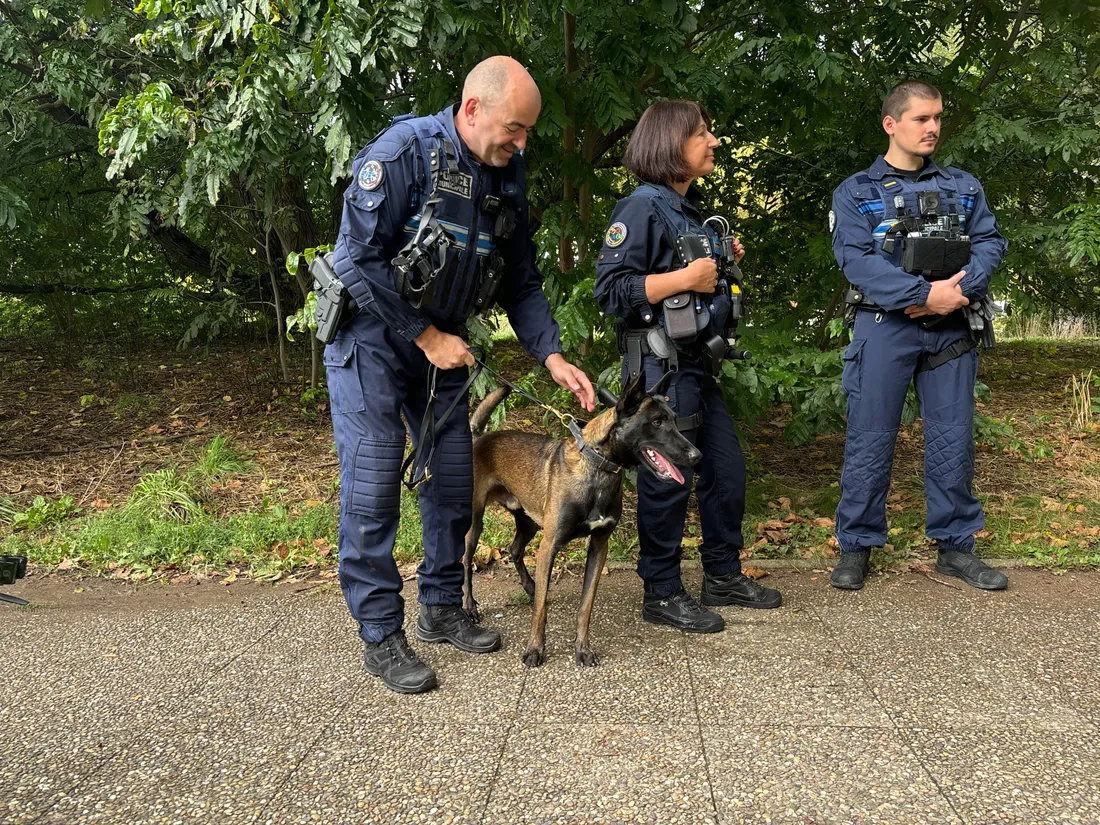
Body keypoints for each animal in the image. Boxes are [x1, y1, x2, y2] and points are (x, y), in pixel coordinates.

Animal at [464, 374, 704, 673]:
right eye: (657, 422)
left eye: (673, 419)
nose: (696, 455)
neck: (598, 469)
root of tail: (479, 437)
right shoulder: (550, 546)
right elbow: (540, 612)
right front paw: (534, 649)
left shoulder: (599, 546)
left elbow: (585, 606)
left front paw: (582, 649)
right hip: (474, 524)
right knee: (466, 562)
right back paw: (470, 606)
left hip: (530, 521)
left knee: (514, 549)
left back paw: (531, 586)